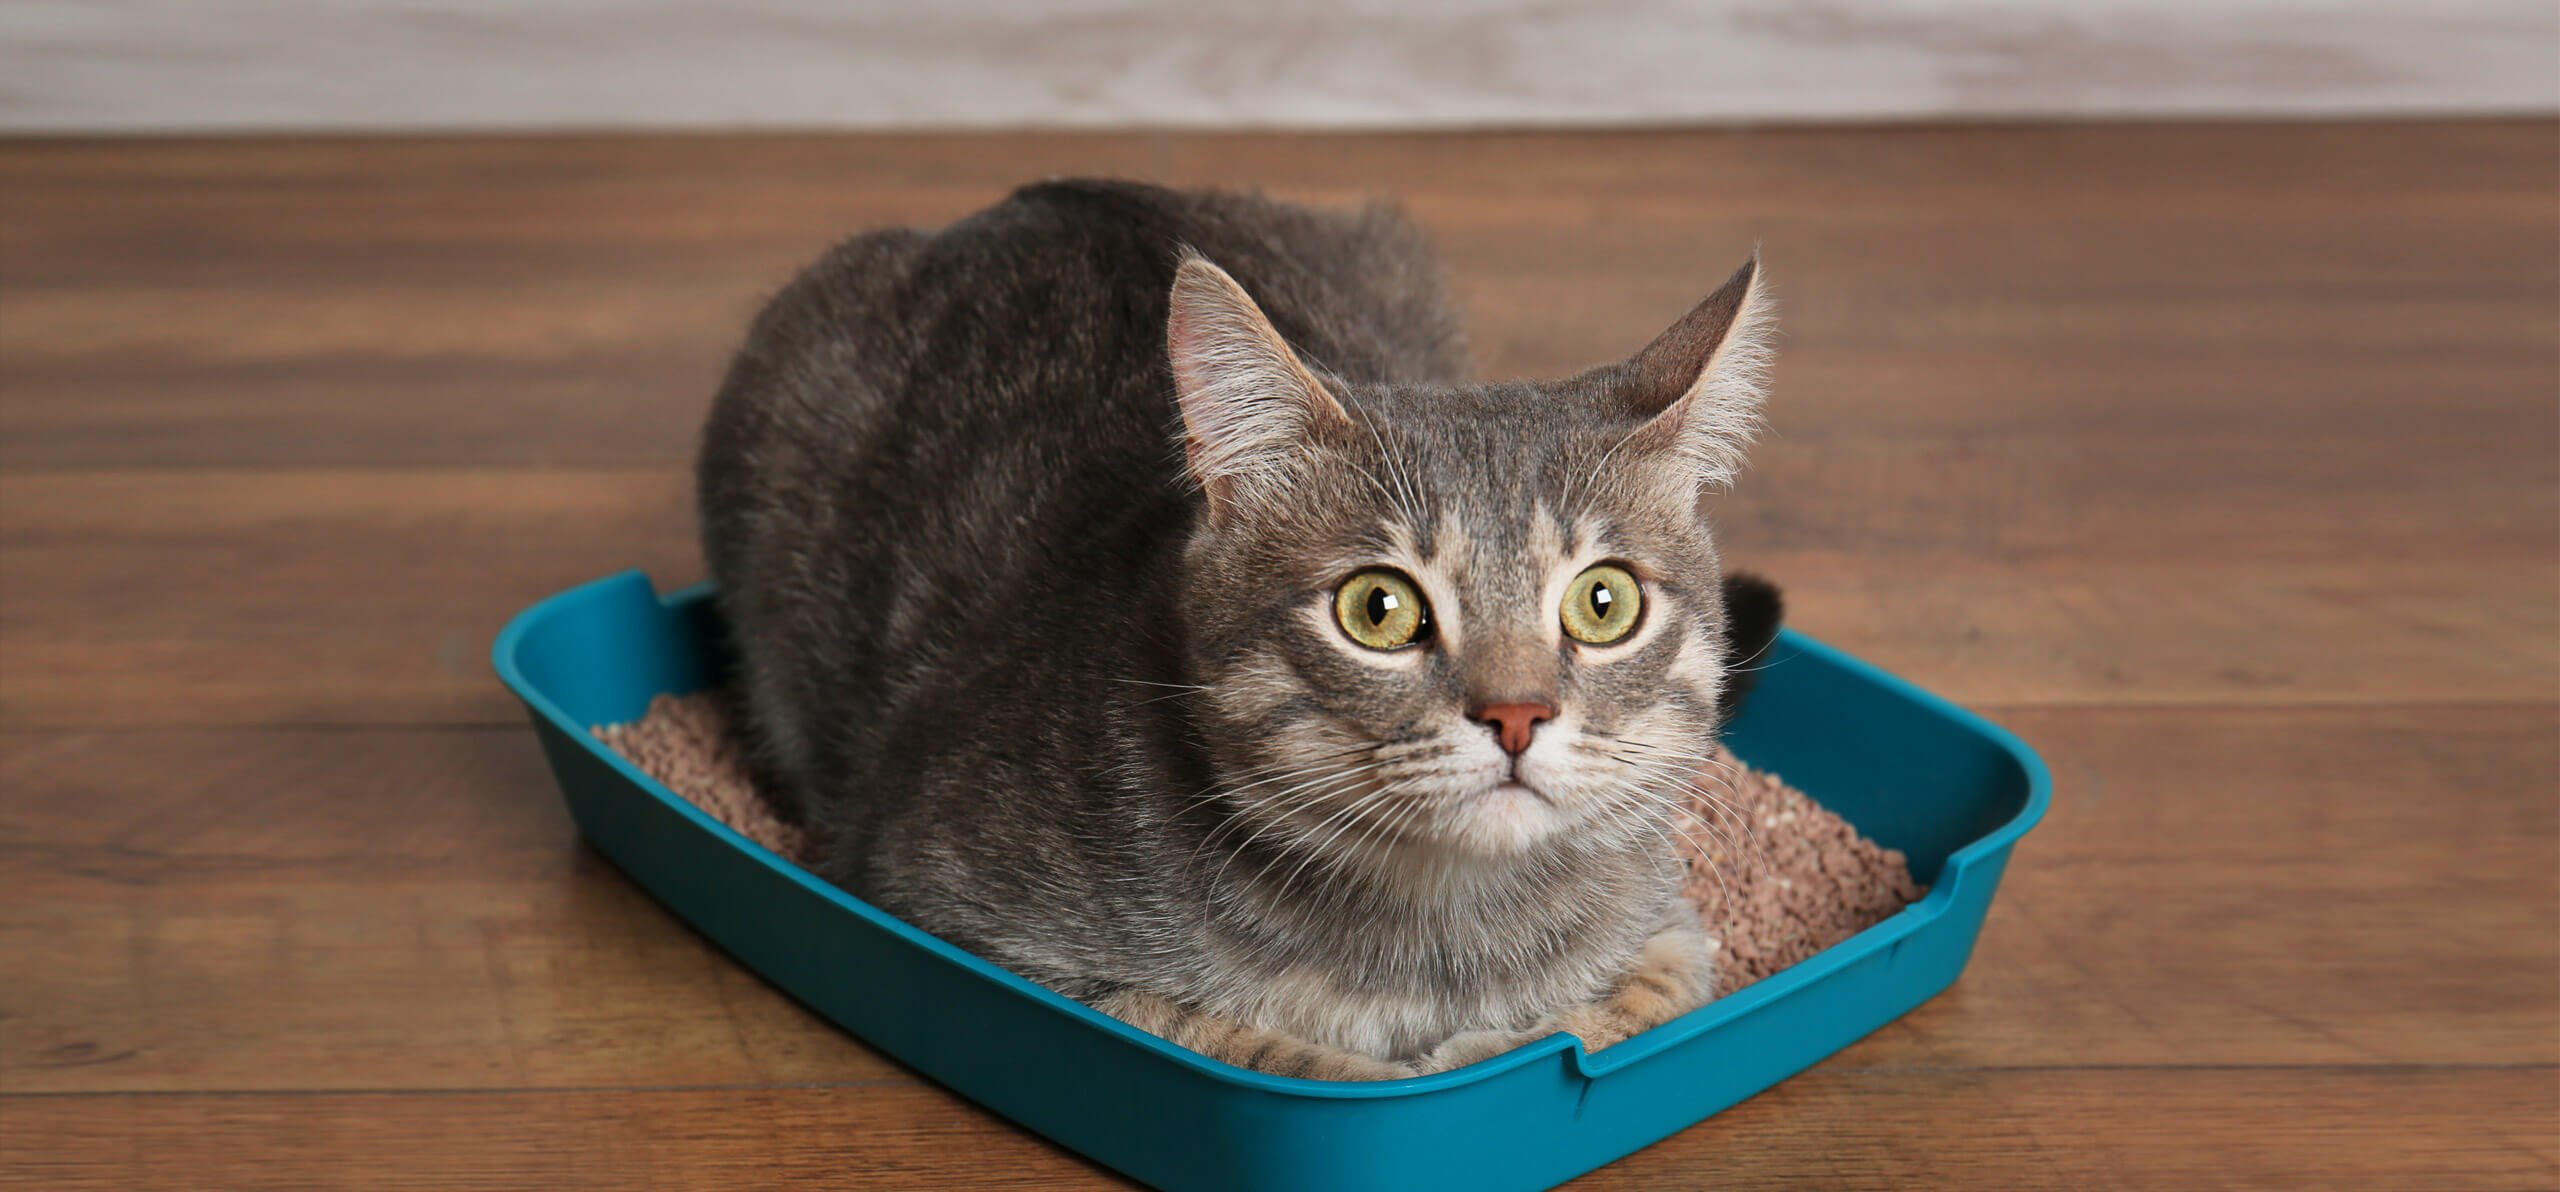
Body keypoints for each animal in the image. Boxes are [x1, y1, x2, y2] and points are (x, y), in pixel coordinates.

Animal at [701, 176, 1781, 1079]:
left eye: (1603, 603)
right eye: (1378, 608)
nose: (1517, 715)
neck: (1440, 934)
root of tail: (1030, 196)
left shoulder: (1670, 920)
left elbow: (1634, 999)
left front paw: (1498, 1043)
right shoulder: (937, 899)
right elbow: (1221, 1035)